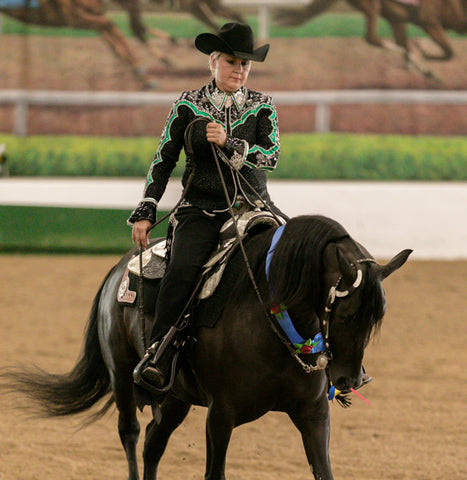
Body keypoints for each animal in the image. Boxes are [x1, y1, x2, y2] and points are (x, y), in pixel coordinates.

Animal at [0, 215, 412, 480]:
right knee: (131, 433)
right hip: (122, 378)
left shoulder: (313, 413)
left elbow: (324, 471)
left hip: (175, 398)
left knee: (153, 442)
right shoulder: (221, 414)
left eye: (378, 317)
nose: (350, 380)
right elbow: (214, 474)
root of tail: (120, 268)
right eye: (346, 312)